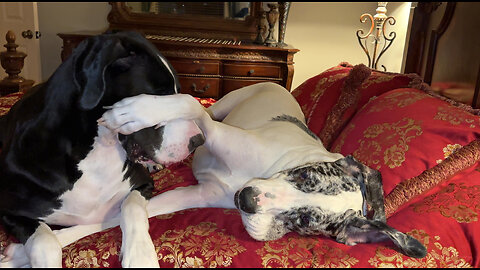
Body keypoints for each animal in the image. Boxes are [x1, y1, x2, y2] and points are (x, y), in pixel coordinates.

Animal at [95, 81, 426, 258]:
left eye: (305, 219)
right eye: (304, 175)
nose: (247, 199)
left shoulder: (195, 195)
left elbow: (124, 213)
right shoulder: (215, 131)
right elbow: (190, 104)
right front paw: (133, 112)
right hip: (226, 105)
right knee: (199, 107)